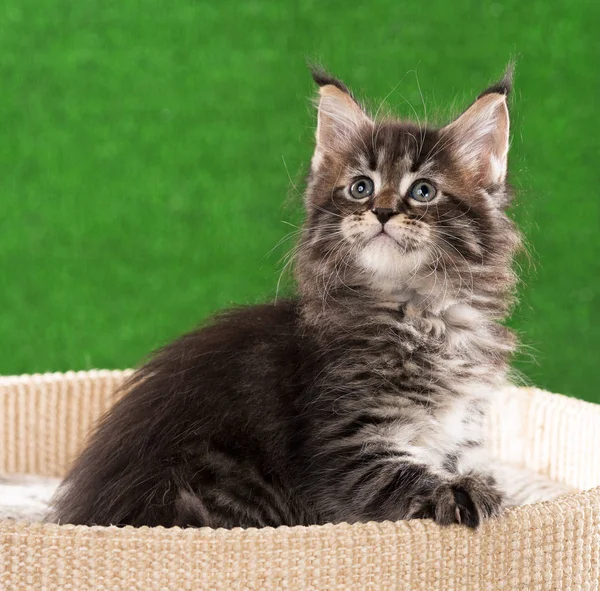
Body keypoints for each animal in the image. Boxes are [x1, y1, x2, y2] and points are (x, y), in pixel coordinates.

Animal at [50, 67, 568, 528]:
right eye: (360, 187)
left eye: (423, 191)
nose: (381, 211)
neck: (420, 311)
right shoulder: (345, 442)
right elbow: (402, 477)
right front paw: (462, 493)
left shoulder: (461, 428)